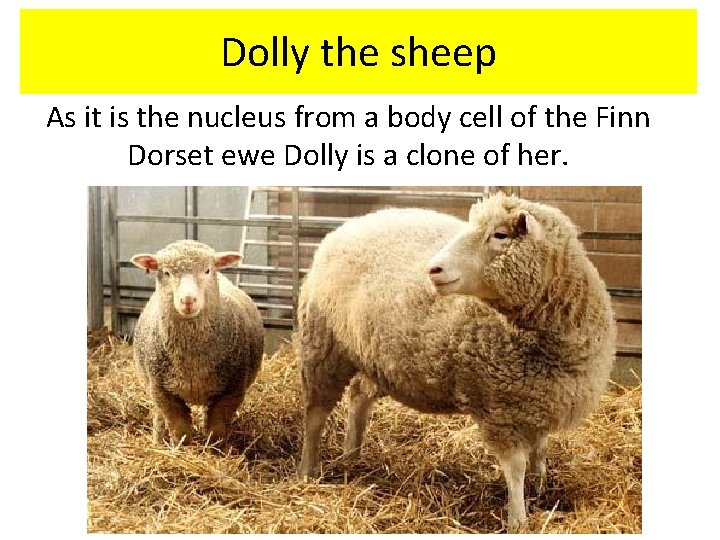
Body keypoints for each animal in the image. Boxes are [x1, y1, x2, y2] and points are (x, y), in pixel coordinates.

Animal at [131, 240, 264, 445]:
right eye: (166, 272)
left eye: (207, 270)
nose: (188, 300)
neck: (192, 361)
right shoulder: (162, 391)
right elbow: (180, 429)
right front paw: (182, 448)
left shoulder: (231, 391)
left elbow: (217, 428)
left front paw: (215, 449)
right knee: (159, 417)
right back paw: (158, 441)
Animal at [296, 193, 616, 532]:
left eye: (500, 235)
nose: (433, 269)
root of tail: (345, 227)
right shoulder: (500, 408)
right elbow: (515, 467)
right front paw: (518, 518)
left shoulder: (539, 400)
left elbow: (540, 450)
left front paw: (540, 488)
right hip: (323, 348)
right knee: (315, 415)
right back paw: (307, 470)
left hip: (374, 355)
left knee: (358, 396)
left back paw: (352, 456)